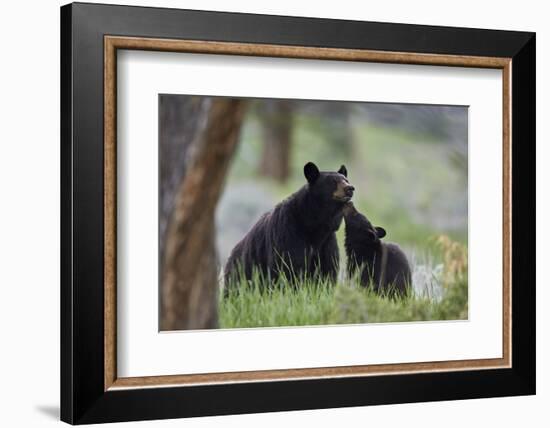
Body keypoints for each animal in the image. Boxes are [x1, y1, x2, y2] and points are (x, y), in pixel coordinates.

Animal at [226, 162, 356, 290]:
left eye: (346, 180)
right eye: (332, 181)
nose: (350, 188)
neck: (313, 224)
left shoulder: (327, 242)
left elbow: (326, 271)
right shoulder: (288, 233)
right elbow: (289, 267)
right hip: (241, 272)